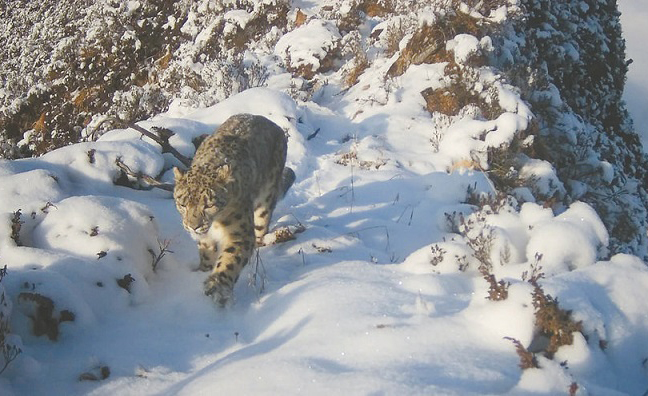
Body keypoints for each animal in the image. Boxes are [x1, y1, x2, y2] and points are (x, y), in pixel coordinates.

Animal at [172, 113, 294, 304]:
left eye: (209, 204)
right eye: (182, 203)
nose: (193, 226)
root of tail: (270, 122)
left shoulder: (239, 234)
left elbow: (229, 260)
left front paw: (217, 287)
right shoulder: (205, 240)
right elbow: (207, 256)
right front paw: (203, 271)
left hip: (265, 199)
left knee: (261, 226)